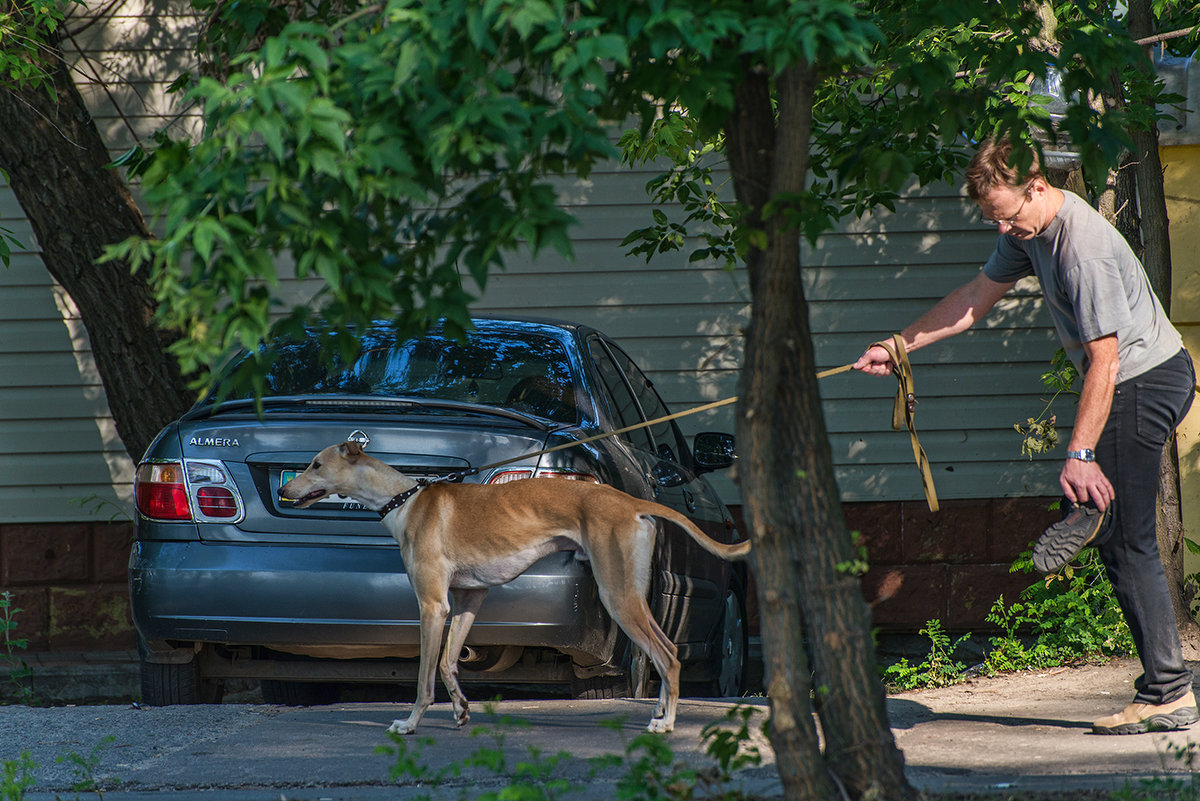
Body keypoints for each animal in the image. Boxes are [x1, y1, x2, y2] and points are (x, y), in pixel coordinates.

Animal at [278, 441, 748, 733]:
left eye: (316, 464)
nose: (285, 489)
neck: (405, 500)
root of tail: (630, 501)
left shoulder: (432, 606)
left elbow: (425, 677)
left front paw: (410, 724)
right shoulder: (468, 600)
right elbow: (449, 663)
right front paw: (462, 710)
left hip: (618, 596)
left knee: (668, 655)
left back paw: (667, 724)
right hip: (632, 592)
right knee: (660, 653)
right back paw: (658, 713)